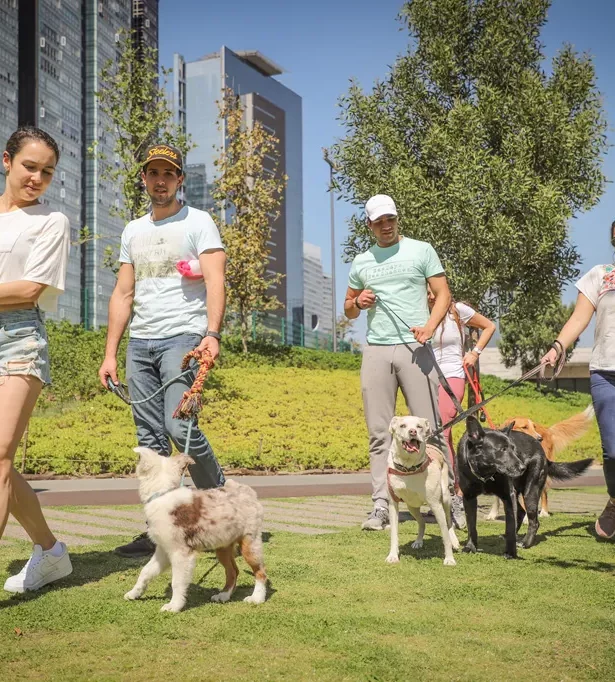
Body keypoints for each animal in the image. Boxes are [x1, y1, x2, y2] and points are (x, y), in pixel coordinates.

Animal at [124, 446, 268, 612]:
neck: (163, 492)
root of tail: (246, 490)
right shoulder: (163, 550)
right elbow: (146, 571)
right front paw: (134, 593)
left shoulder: (180, 552)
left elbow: (177, 582)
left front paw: (174, 605)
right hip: (223, 546)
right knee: (233, 571)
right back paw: (224, 595)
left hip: (249, 543)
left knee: (261, 572)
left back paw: (257, 598)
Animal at [388, 414, 460, 564]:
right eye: (402, 425)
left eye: (419, 426)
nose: (413, 432)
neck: (409, 468)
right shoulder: (393, 503)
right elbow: (394, 533)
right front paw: (392, 556)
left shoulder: (436, 505)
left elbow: (445, 535)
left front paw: (449, 559)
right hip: (411, 506)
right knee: (421, 522)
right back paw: (418, 541)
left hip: (445, 499)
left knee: (449, 522)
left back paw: (454, 541)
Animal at [460, 414, 596, 556]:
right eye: (502, 449)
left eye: (514, 449)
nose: (523, 467)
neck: (485, 473)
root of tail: (540, 448)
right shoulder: (469, 498)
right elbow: (471, 526)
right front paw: (470, 547)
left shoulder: (508, 495)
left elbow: (511, 522)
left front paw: (510, 551)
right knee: (520, 512)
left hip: (530, 491)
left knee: (533, 521)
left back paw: (526, 543)